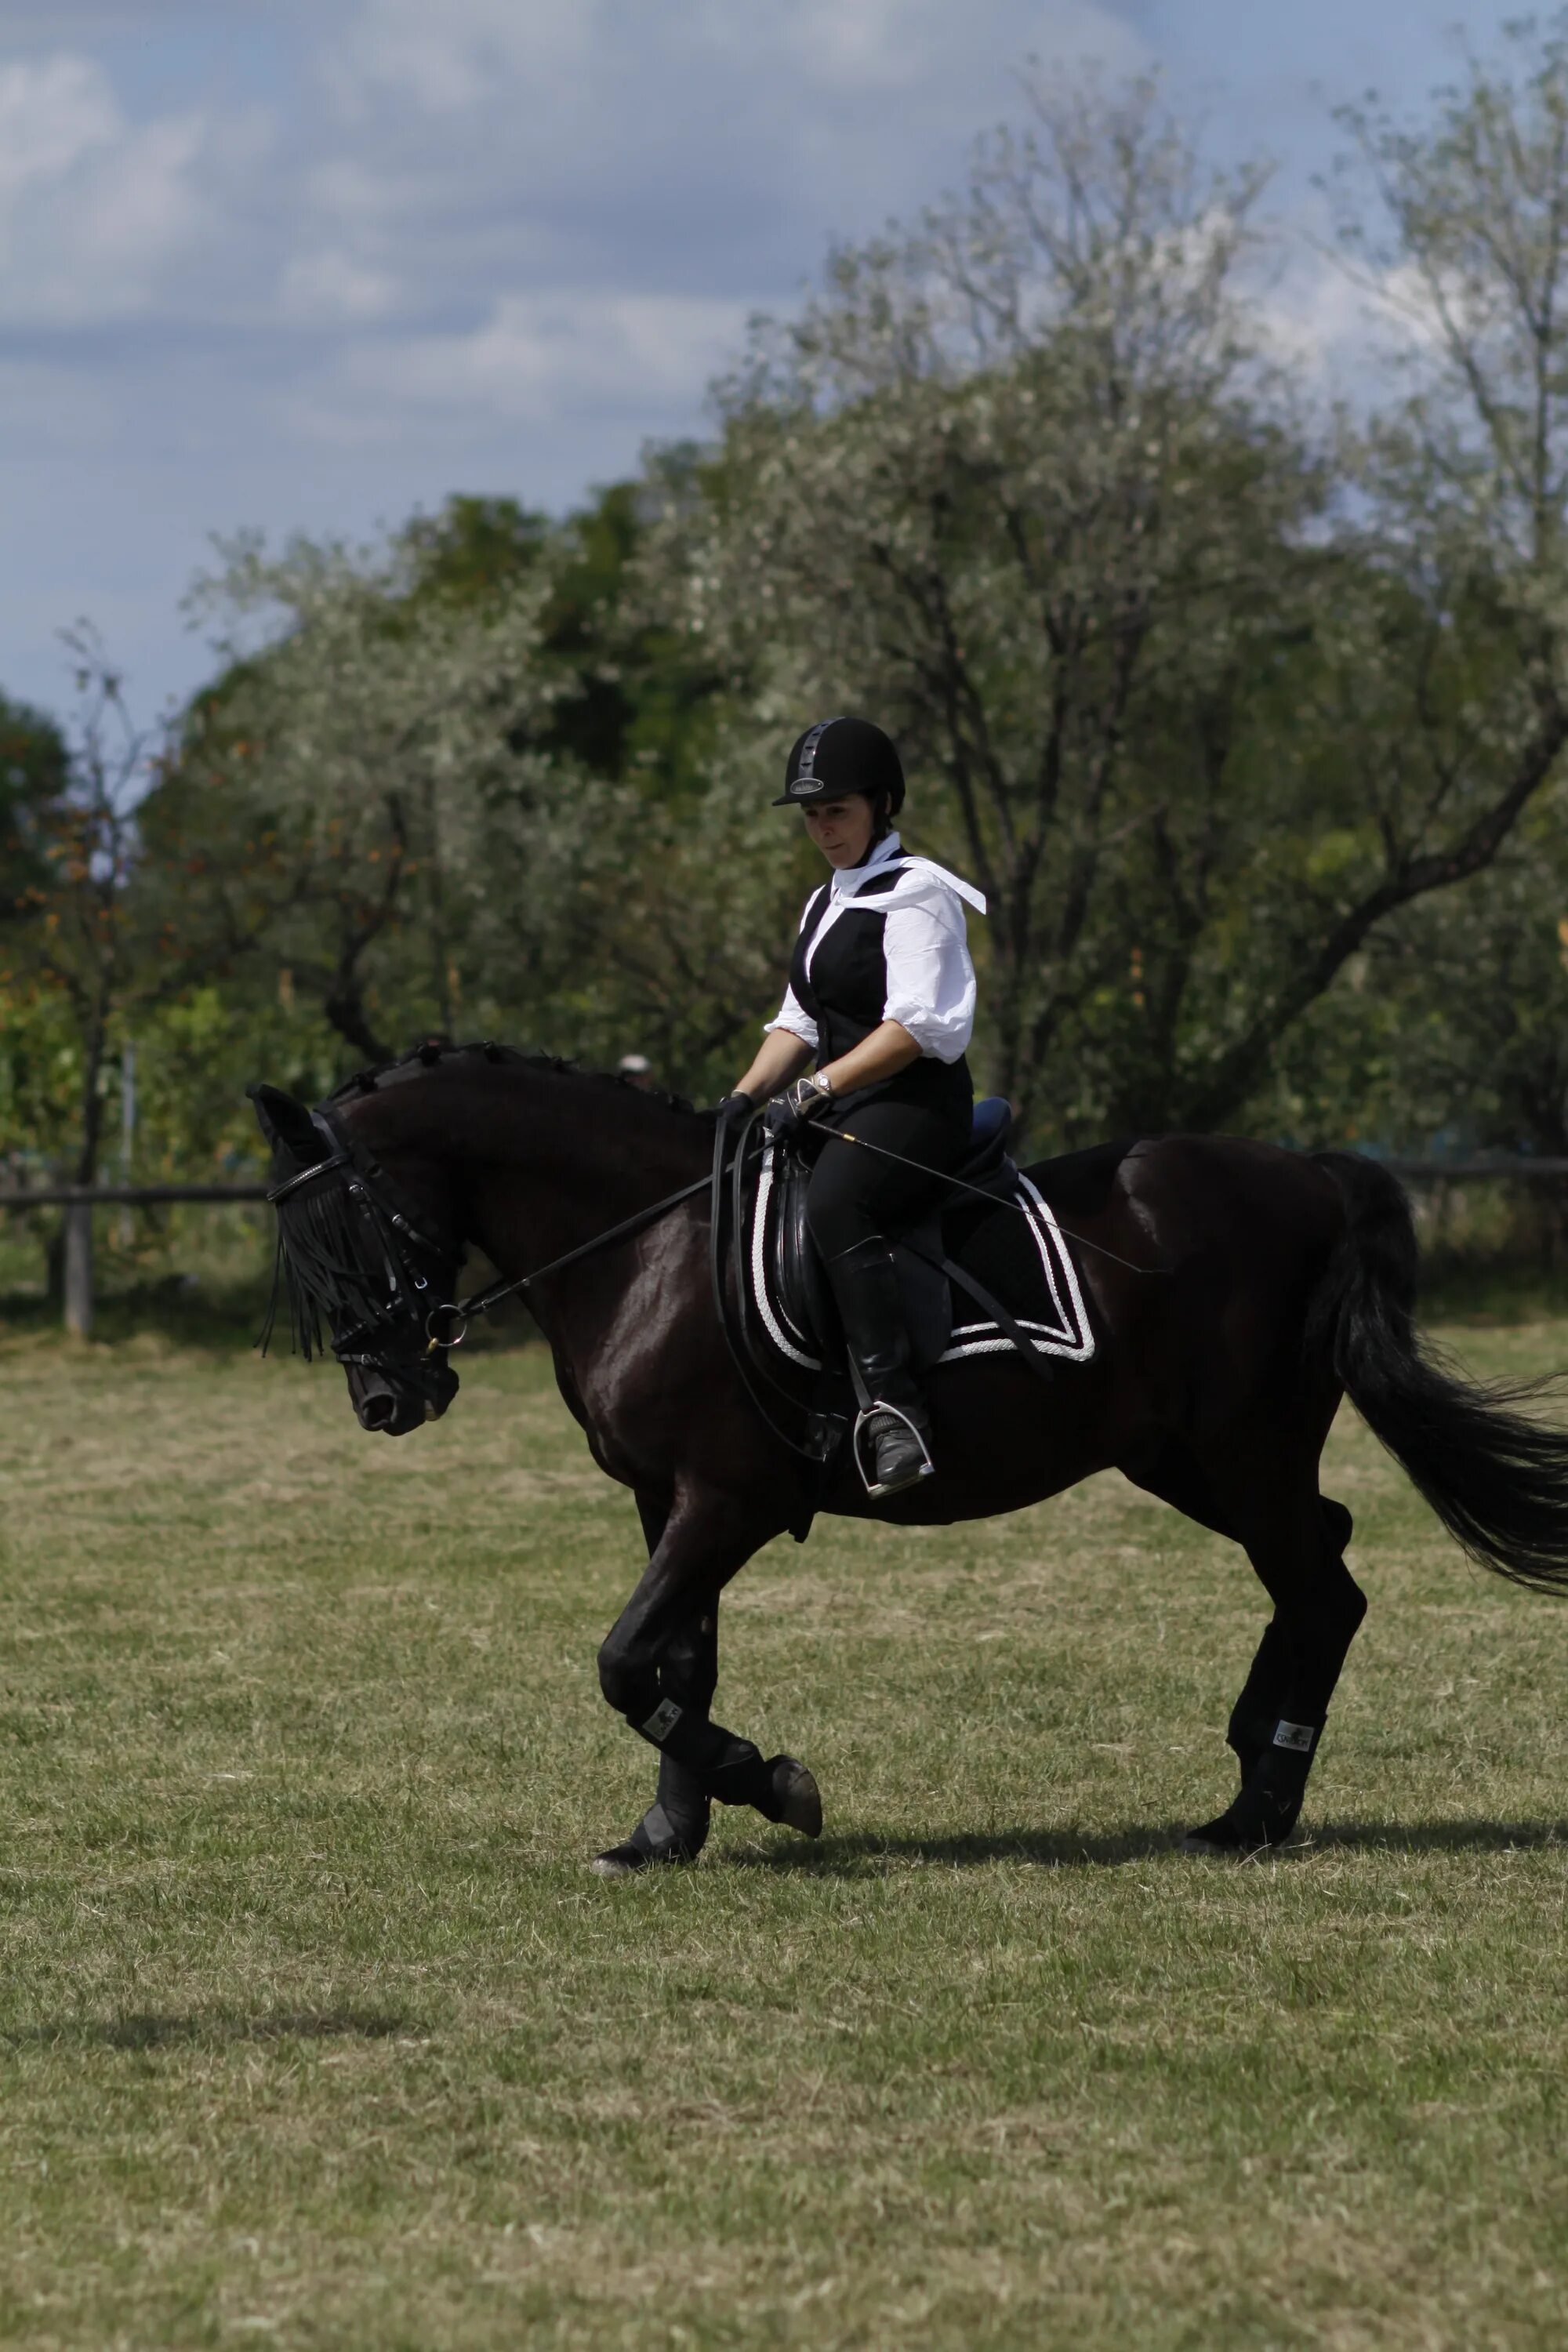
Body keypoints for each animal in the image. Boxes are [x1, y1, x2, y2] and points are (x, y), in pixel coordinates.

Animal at [251, 1049, 1561, 1872]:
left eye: (344, 1226)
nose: (386, 1398)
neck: (649, 1245)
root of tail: (1310, 1170)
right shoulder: (667, 1501)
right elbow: (681, 1666)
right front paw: (667, 1837)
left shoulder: (726, 1500)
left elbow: (627, 1665)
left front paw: (775, 1786)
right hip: (1187, 1461)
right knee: (1319, 1569)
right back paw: (1249, 1771)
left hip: (1241, 1454)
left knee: (1325, 1590)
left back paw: (1260, 1808)